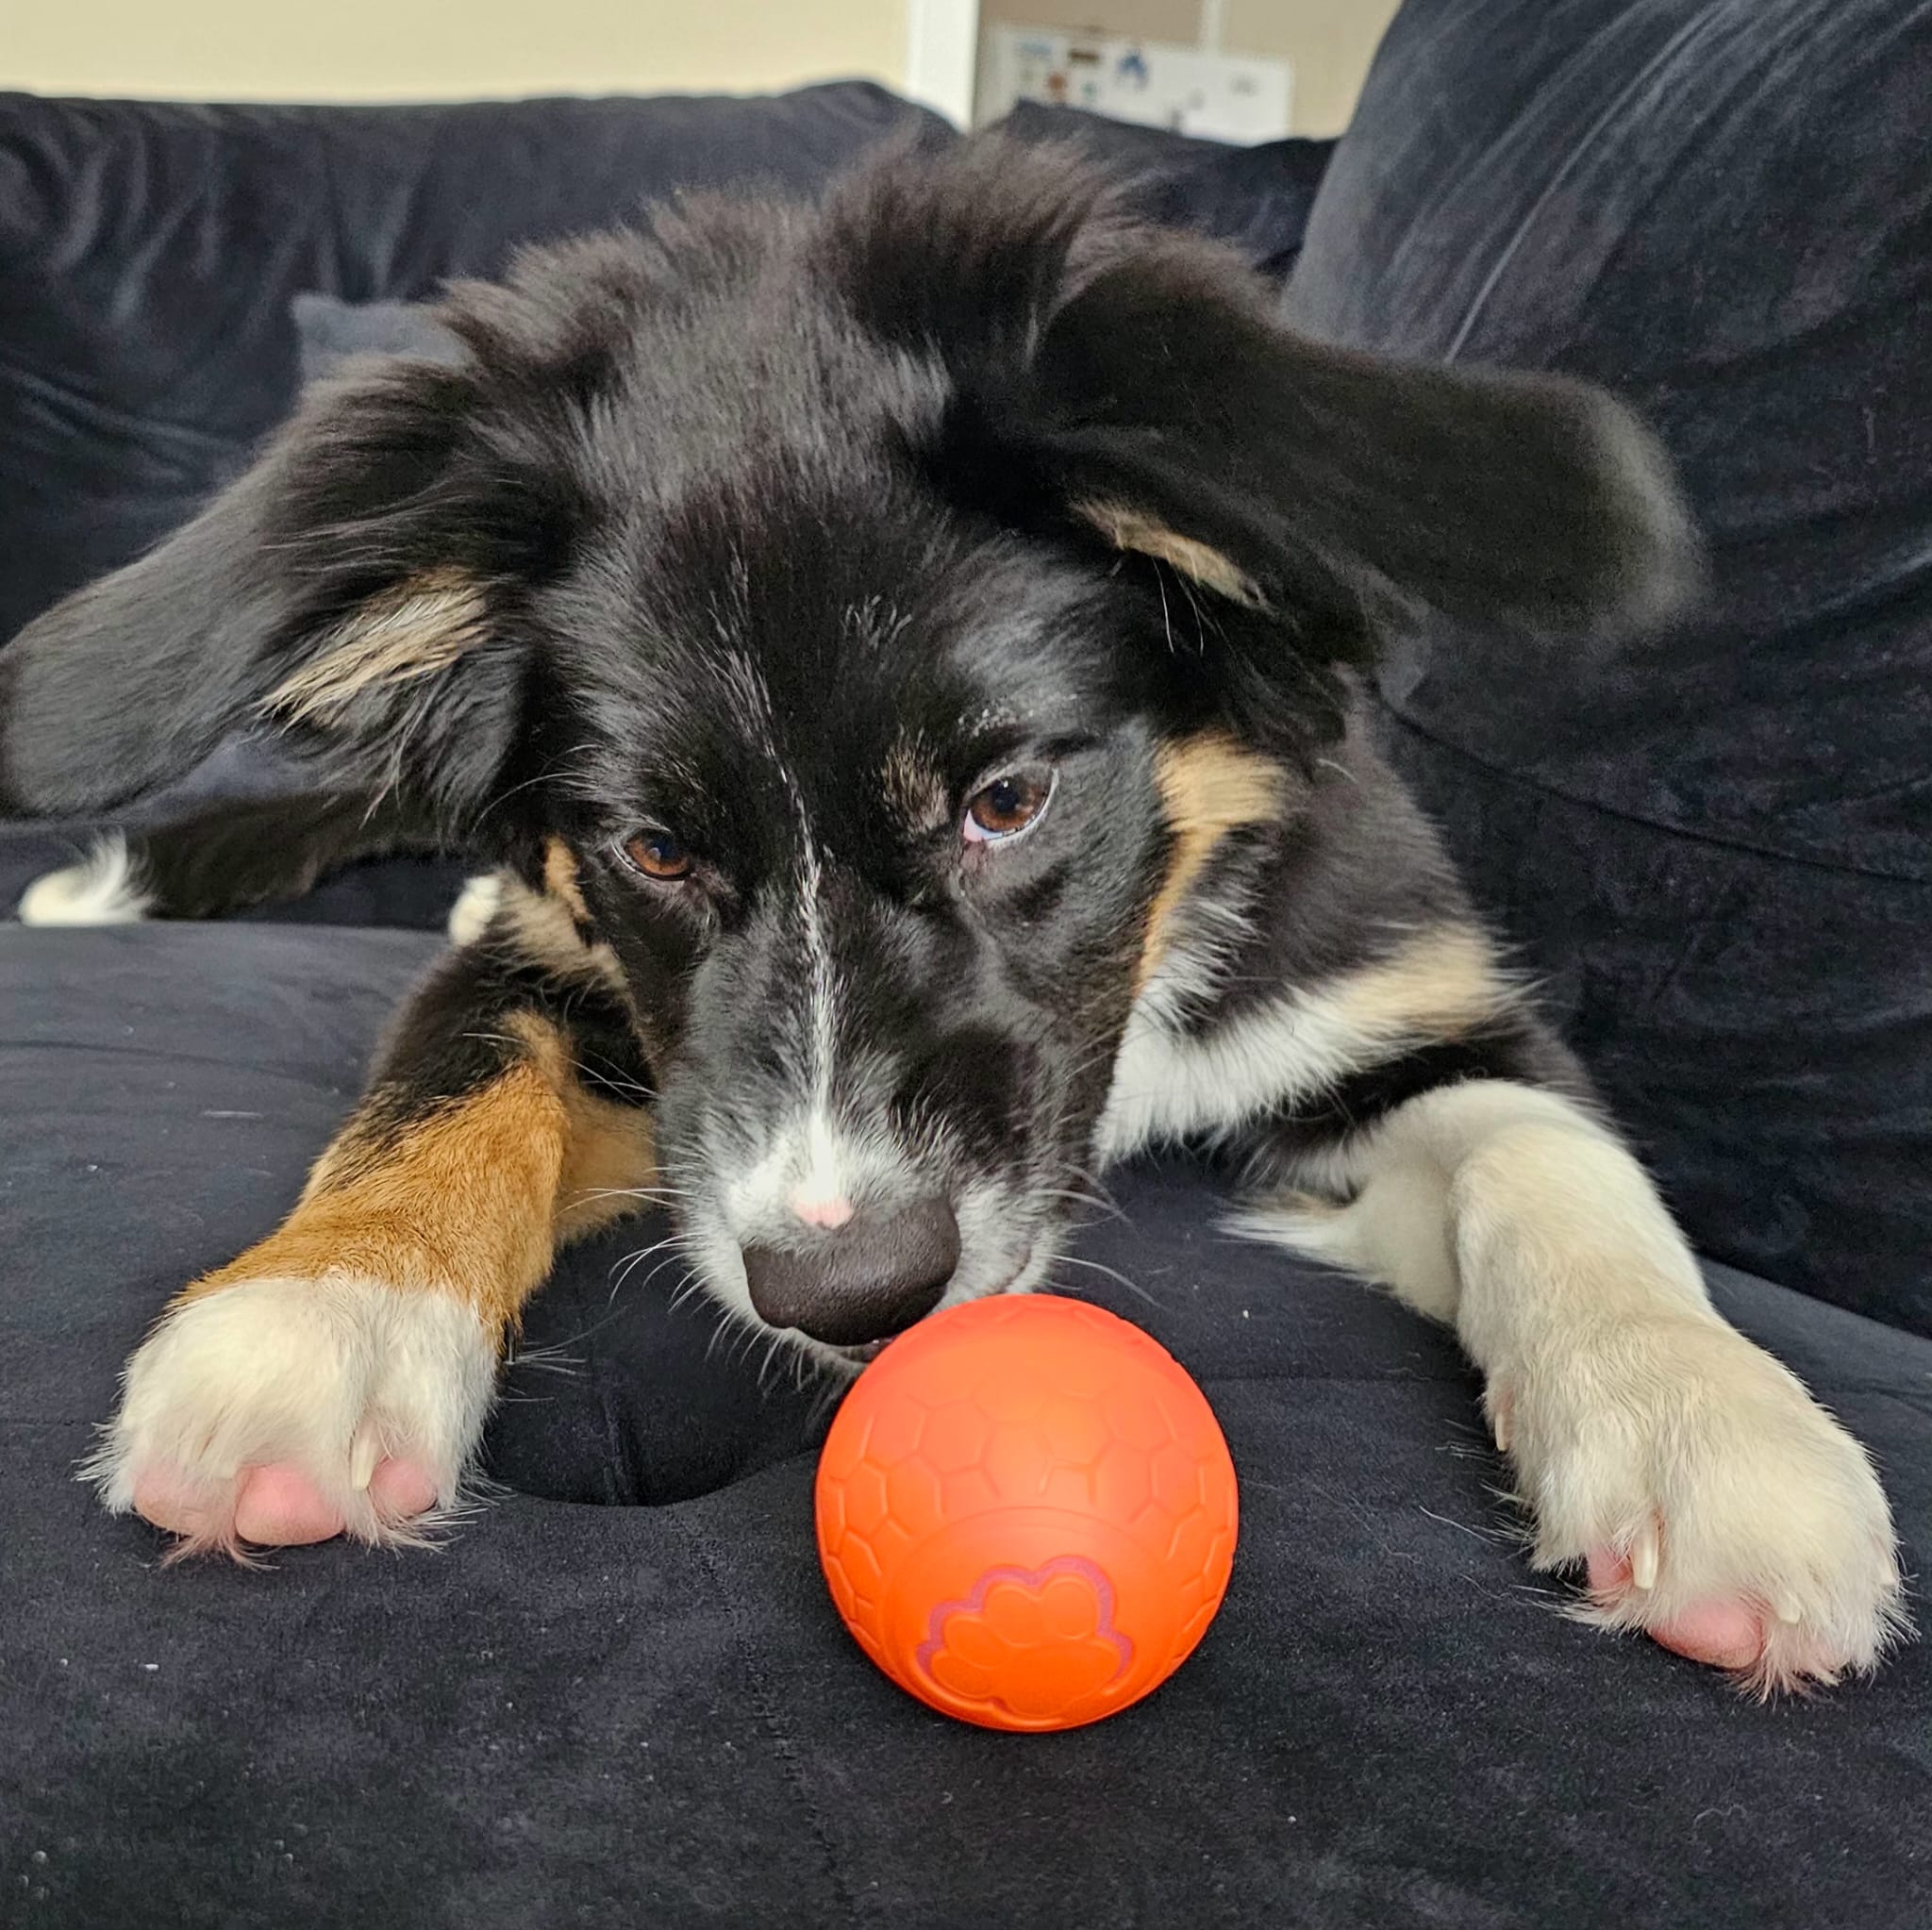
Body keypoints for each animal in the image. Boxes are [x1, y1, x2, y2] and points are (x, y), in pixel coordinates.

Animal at [0, 139, 1901, 1692]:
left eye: (1008, 799)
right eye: (652, 850)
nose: (847, 1296)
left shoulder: (1405, 998)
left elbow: (1556, 1165)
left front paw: (1710, 1431)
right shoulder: (591, 989)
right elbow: (446, 1081)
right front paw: (316, 1318)